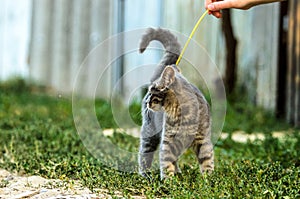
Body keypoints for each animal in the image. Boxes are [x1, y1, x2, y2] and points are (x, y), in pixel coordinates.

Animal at [138, 27, 213, 179]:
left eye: (151, 91)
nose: (147, 99)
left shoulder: (203, 139)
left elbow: (207, 159)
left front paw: (209, 180)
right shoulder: (168, 141)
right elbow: (166, 161)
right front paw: (168, 181)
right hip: (150, 132)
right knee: (144, 153)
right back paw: (146, 174)